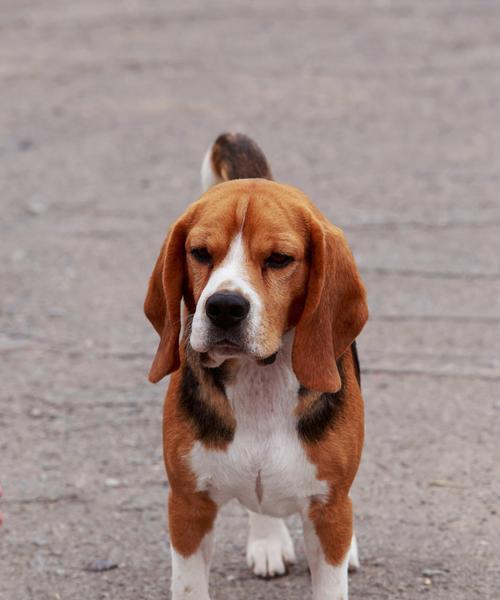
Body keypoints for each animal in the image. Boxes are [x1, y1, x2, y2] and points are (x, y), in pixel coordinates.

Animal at [145, 134, 368, 596]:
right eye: (199, 253)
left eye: (280, 259)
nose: (224, 307)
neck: (259, 381)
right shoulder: (187, 507)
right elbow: (188, 586)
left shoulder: (329, 510)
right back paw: (267, 540)